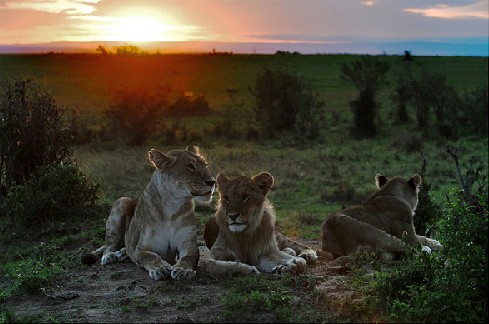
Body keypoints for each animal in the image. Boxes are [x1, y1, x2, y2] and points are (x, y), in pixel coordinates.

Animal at [82, 147, 215, 280]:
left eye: (206, 165)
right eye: (190, 166)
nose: (212, 182)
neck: (172, 206)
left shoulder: (188, 245)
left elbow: (188, 257)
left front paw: (183, 270)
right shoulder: (142, 249)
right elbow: (150, 257)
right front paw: (160, 268)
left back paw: (122, 253)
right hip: (122, 201)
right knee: (109, 243)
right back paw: (109, 256)